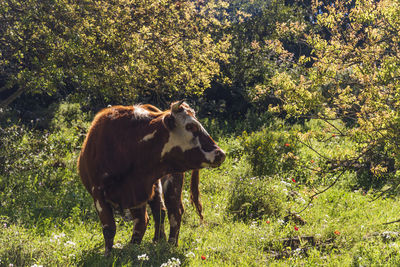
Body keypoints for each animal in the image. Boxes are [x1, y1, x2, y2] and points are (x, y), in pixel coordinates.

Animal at [76, 100, 223, 255]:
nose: (220, 153)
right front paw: (119, 251)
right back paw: (158, 240)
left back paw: (170, 244)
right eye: (190, 126)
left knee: (173, 211)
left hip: (171, 182)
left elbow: (135, 223)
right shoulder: (101, 193)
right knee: (160, 211)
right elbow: (113, 227)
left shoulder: (139, 190)